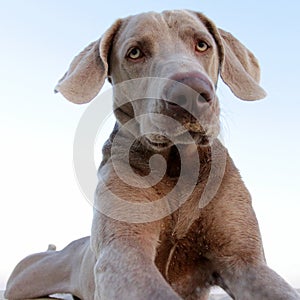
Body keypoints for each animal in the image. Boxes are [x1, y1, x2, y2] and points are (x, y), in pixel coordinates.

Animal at [4, 9, 300, 300]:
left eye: (202, 44)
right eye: (135, 52)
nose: (189, 92)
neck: (177, 165)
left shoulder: (243, 258)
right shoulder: (125, 251)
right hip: (24, 276)